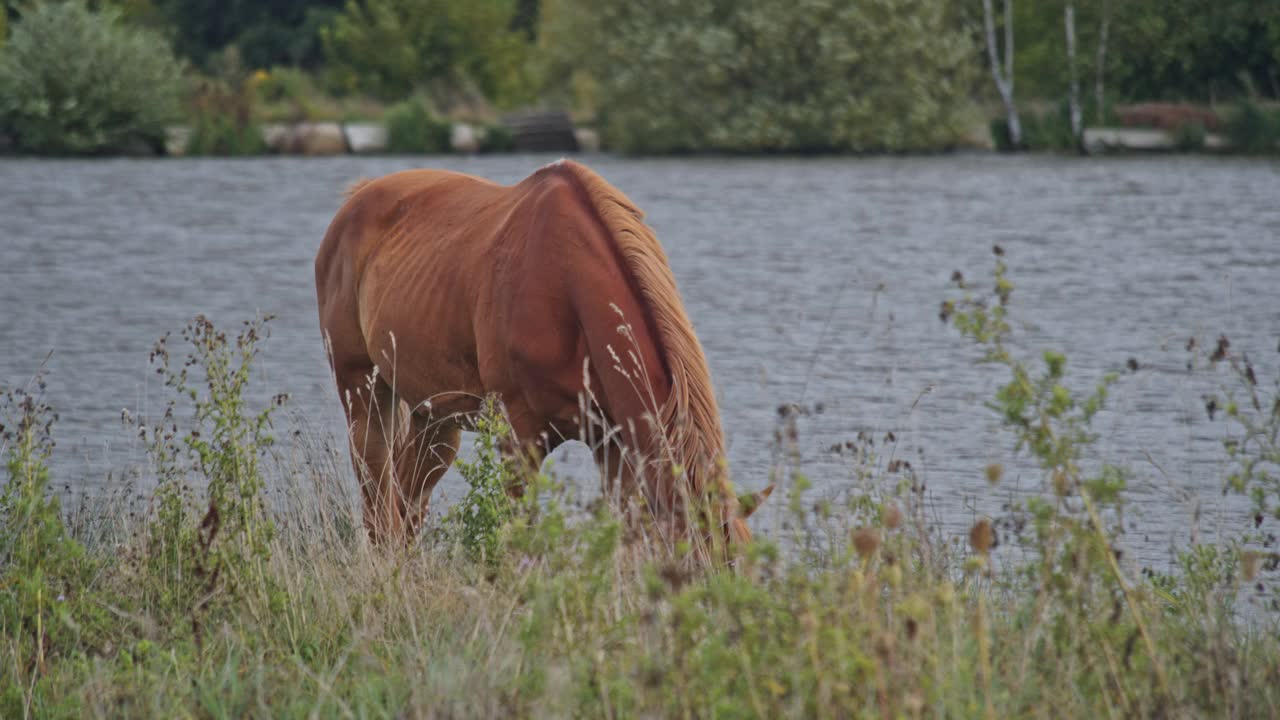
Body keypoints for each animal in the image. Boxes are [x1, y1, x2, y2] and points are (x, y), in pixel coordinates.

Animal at [314, 159, 768, 550]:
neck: (565, 283)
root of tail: (356, 199)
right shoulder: (520, 439)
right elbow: (517, 533)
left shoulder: (614, 446)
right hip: (365, 396)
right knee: (378, 502)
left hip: (436, 418)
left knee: (408, 505)